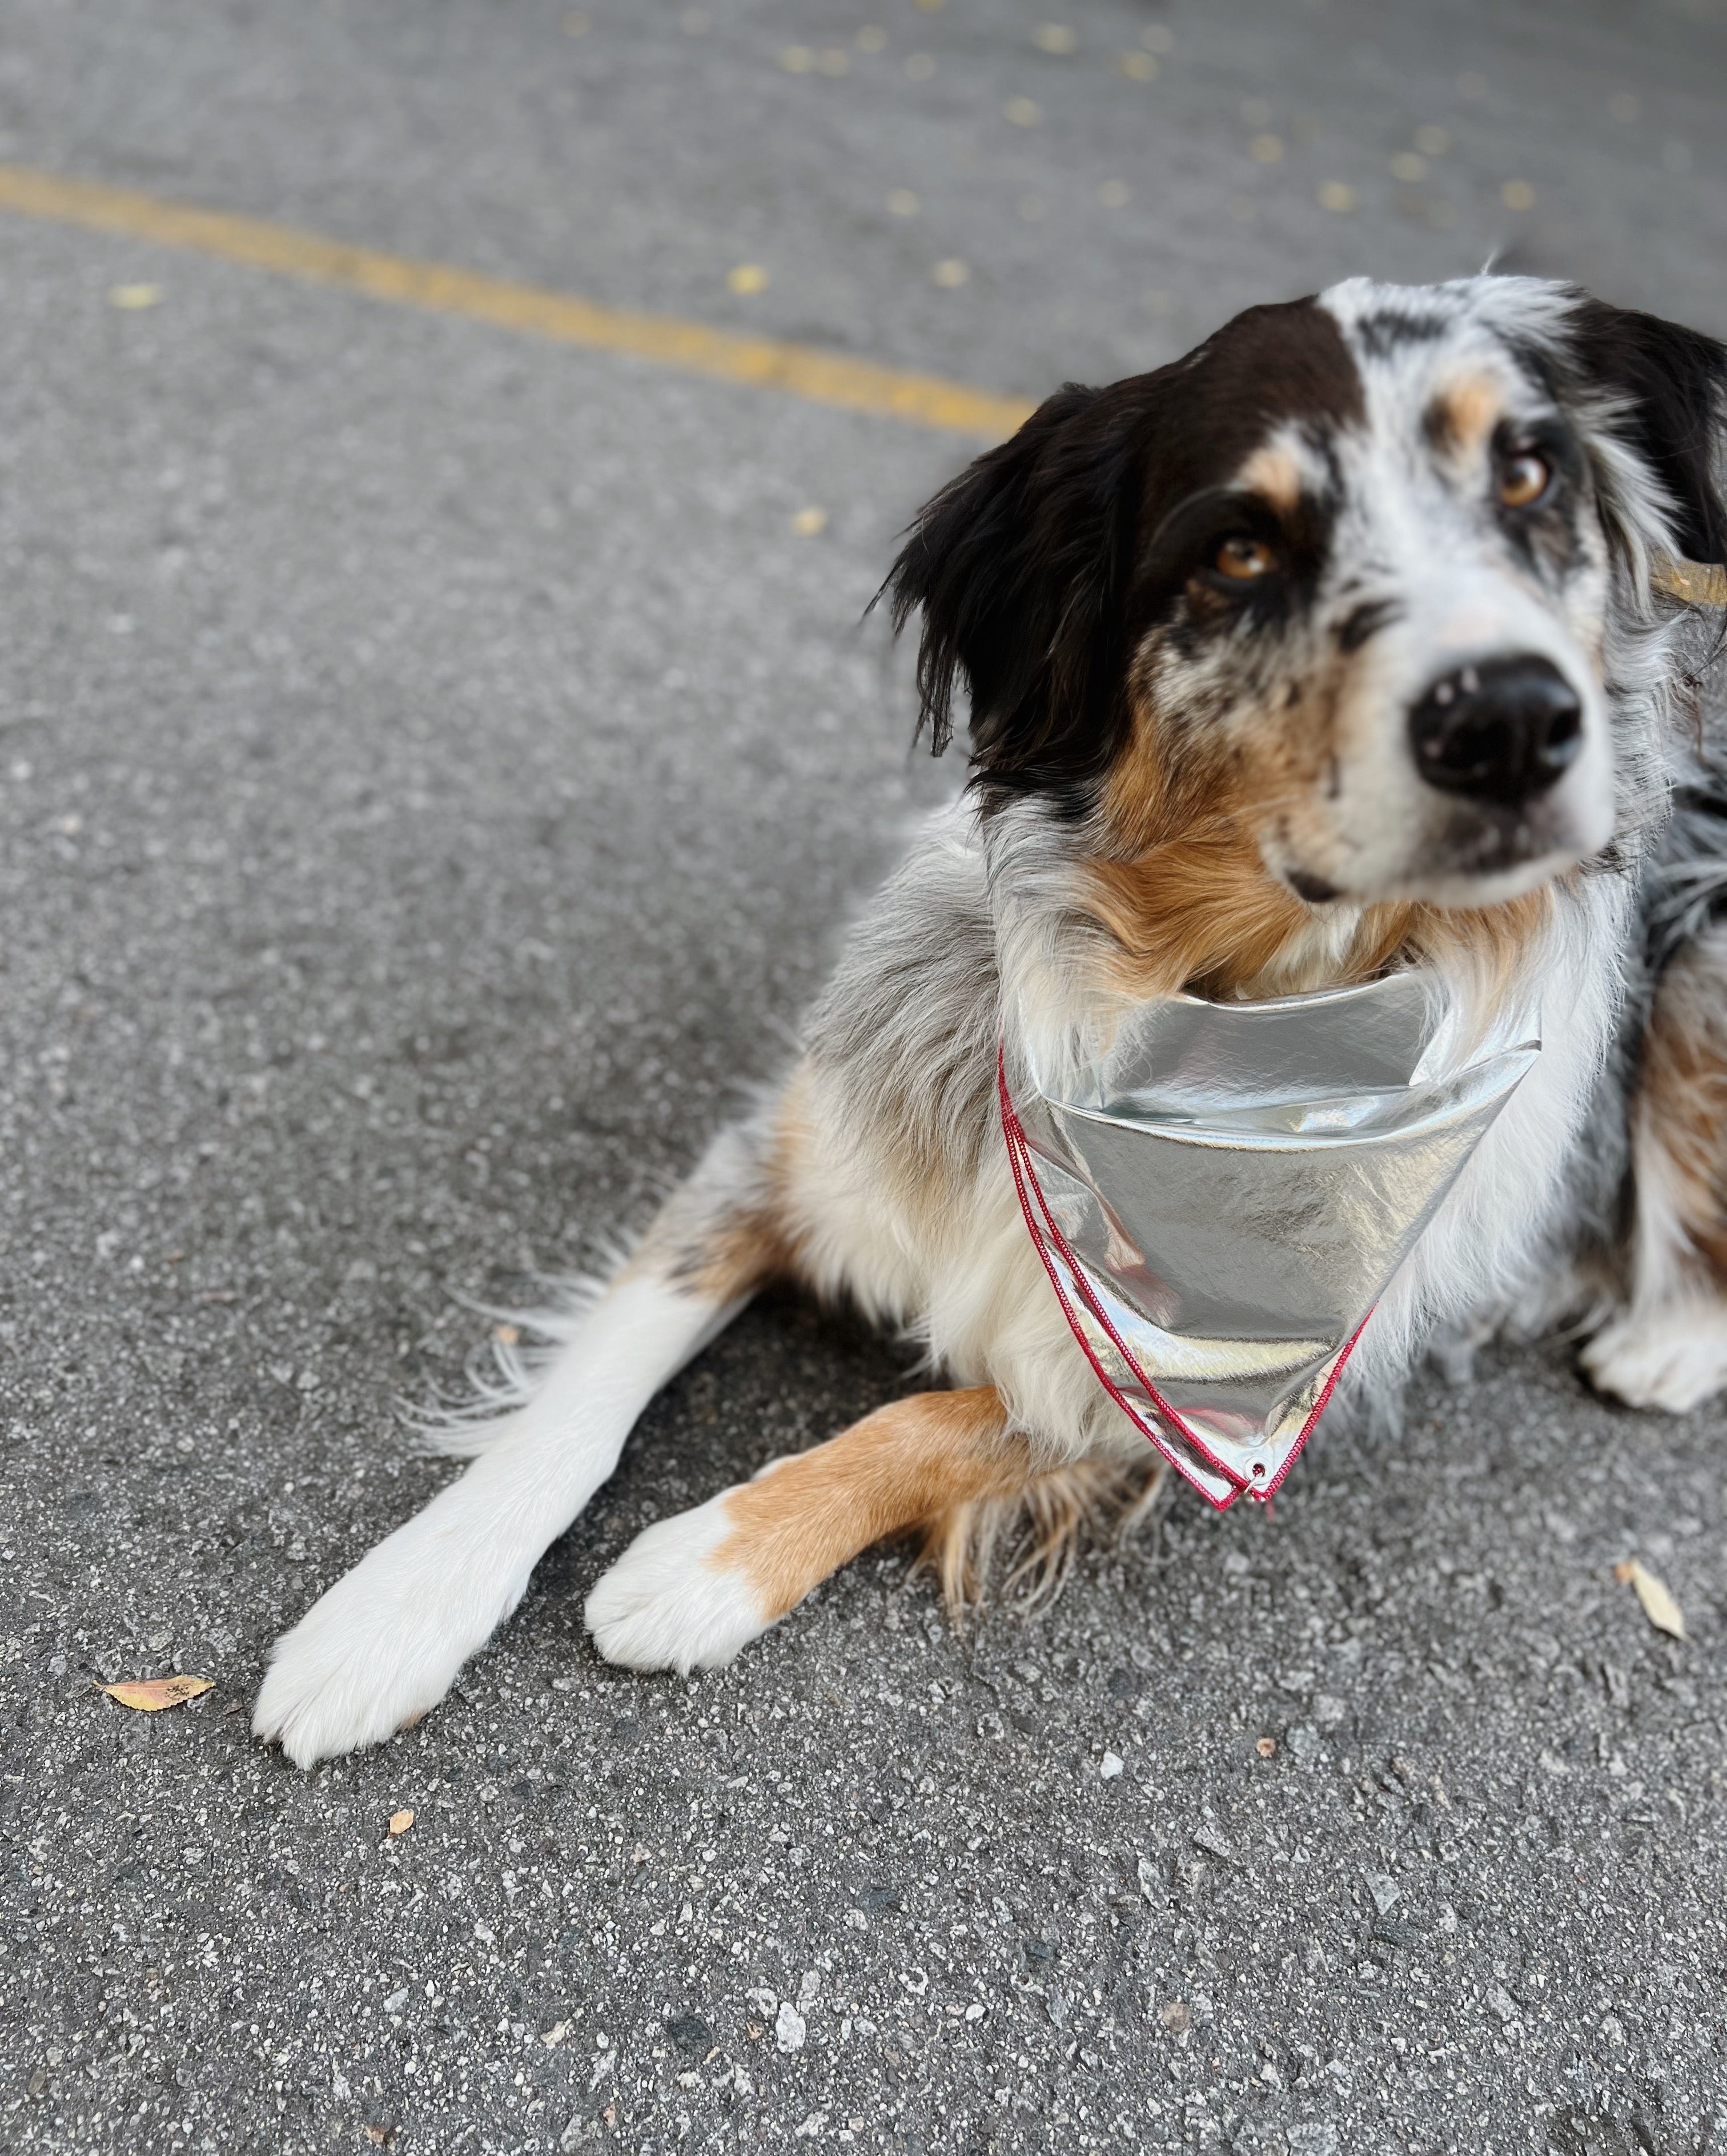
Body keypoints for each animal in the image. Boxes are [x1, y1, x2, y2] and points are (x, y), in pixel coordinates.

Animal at [252, 274, 1725, 1768]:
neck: (1182, 1016)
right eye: (1241, 548)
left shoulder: (1230, 1397)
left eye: (1528, 476)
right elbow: (586, 1390)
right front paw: (397, 1607)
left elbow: (934, 1418)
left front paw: (703, 1561)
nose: (1515, 721)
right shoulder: (790, 1149)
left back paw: (1664, 1340)